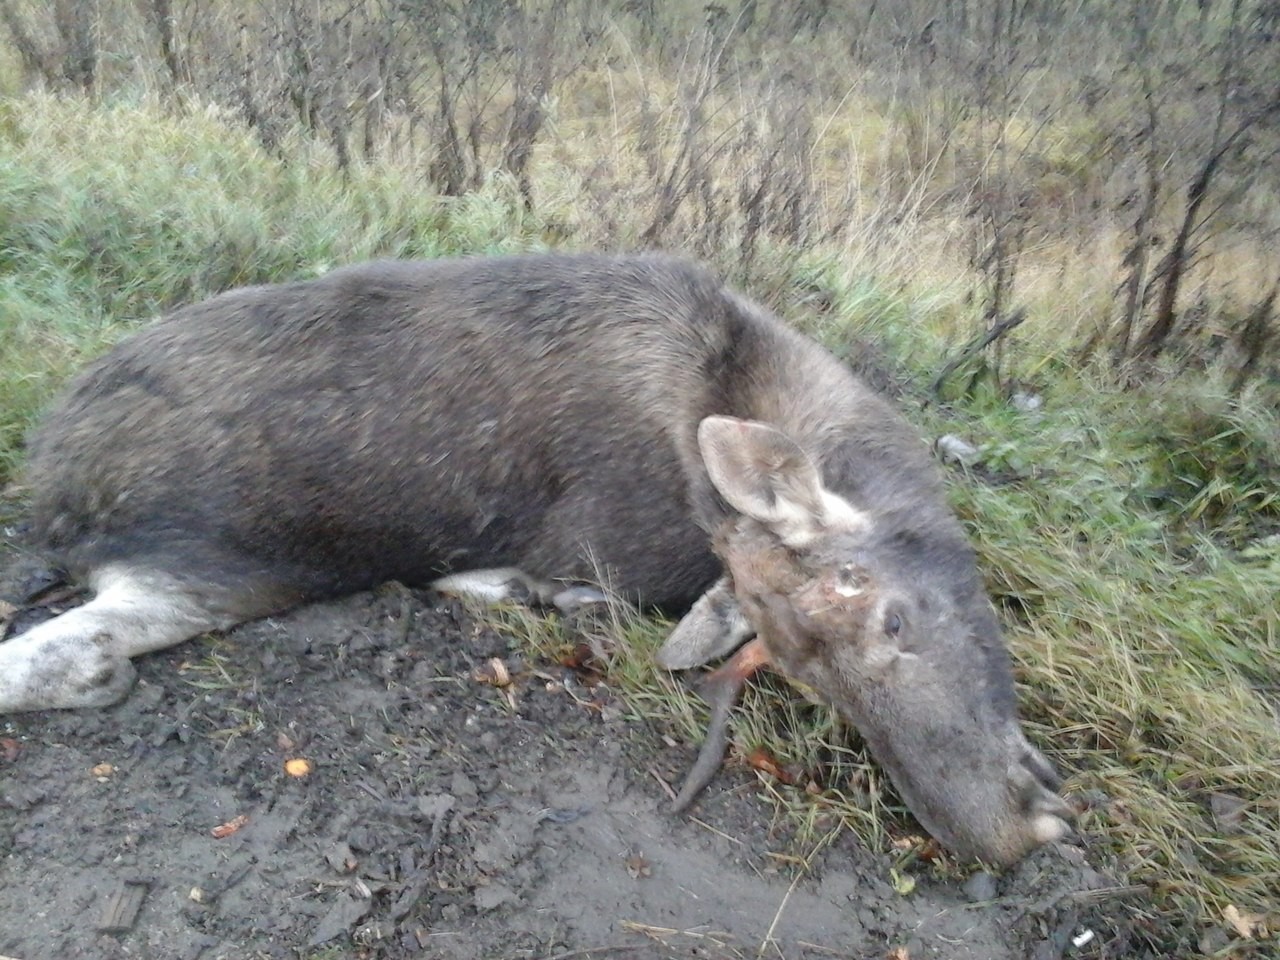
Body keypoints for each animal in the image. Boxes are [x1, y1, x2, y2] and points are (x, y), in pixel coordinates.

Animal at [0, 253, 1070, 865]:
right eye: (888, 616)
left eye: (810, 682)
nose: (1005, 833)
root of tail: (54, 477)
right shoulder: (605, 549)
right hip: (232, 560)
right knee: (56, 645)